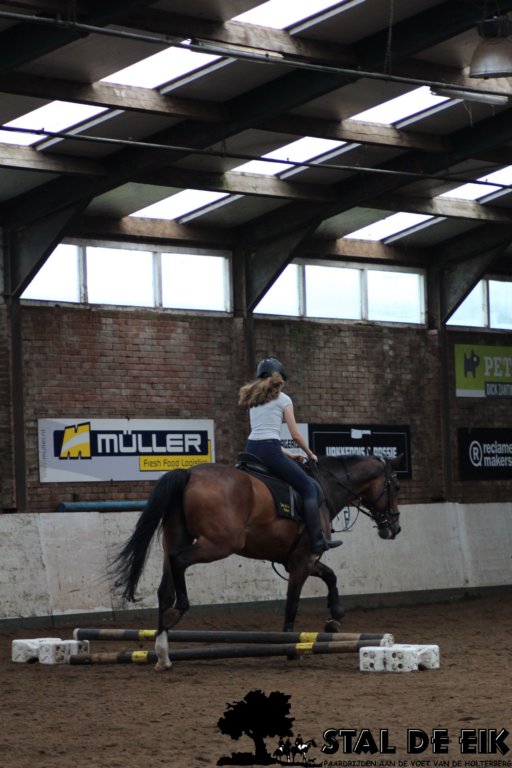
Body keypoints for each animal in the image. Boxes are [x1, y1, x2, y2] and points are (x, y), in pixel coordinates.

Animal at [111, 453, 402, 670]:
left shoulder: (298, 560)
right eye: (395, 487)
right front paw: (291, 648)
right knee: (179, 561)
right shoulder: (302, 561)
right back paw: (179, 610)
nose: (395, 528)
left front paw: (335, 617)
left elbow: (331, 576)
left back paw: (163, 653)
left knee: (165, 588)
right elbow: (292, 604)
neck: (325, 488)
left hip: (175, 537)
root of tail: (190, 473)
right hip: (219, 544)